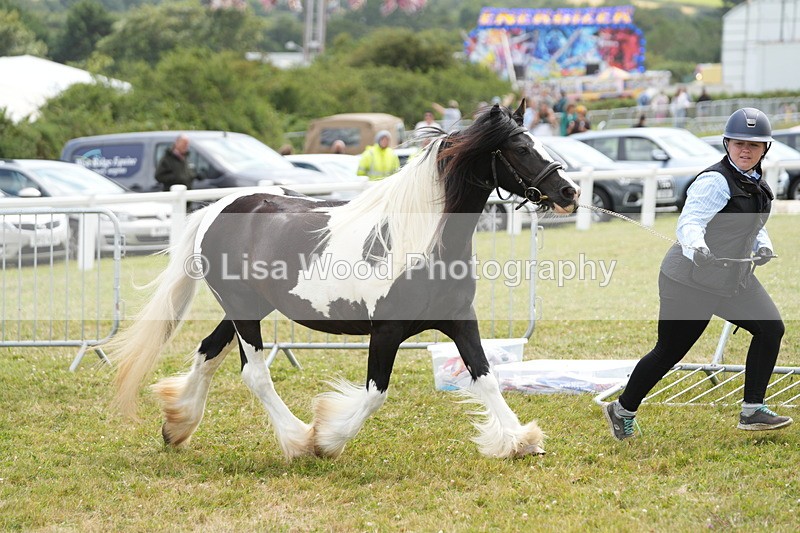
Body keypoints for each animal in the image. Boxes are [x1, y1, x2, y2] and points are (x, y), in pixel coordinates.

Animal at [110, 101, 580, 460]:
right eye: (521, 147)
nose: (569, 192)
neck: (423, 240)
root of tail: (215, 208)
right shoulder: (386, 330)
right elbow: (375, 392)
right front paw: (327, 440)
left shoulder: (461, 320)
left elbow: (485, 377)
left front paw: (520, 440)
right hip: (244, 311)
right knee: (255, 374)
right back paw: (298, 440)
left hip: (249, 308)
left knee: (208, 351)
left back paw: (177, 426)